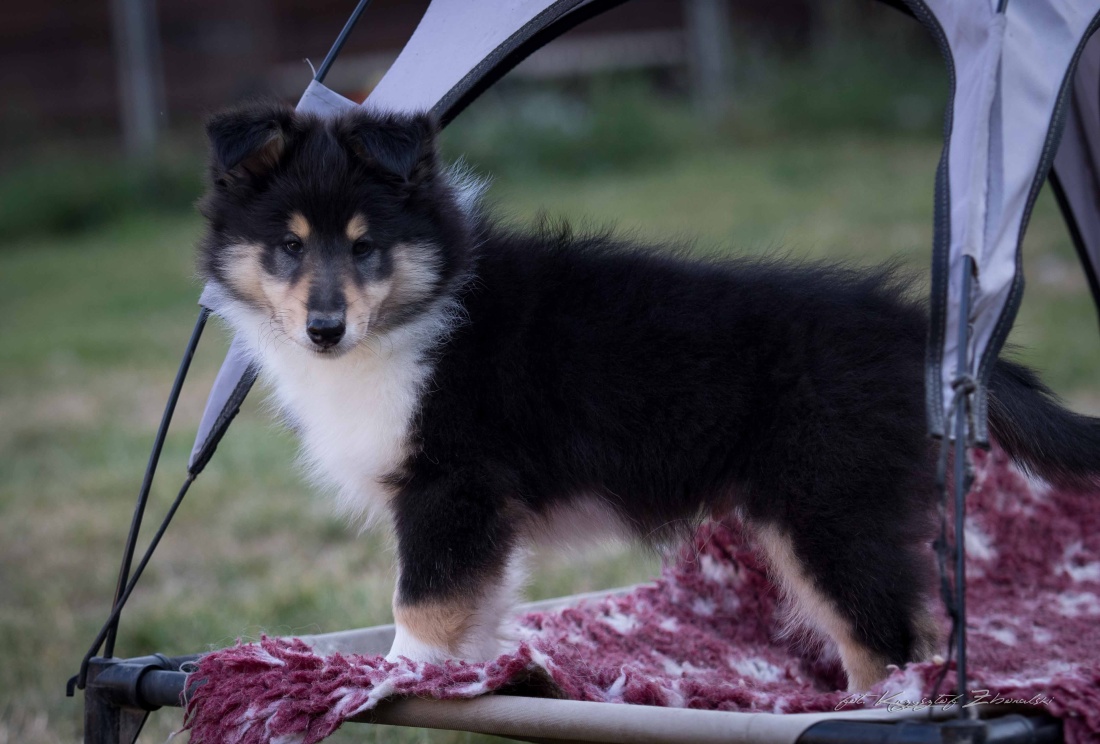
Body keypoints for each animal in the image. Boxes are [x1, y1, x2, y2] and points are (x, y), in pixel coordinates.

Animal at [198, 100, 1100, 691]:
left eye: (366, 247)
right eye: (287, 246)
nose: (324, 330)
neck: (419, 312)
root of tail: (920, 332)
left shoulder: (451, 486)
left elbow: (421, 604)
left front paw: (387, 682)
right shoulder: (475, 512)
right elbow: (473, 609)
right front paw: (477, 679)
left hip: (833, 510)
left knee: (888, 647)